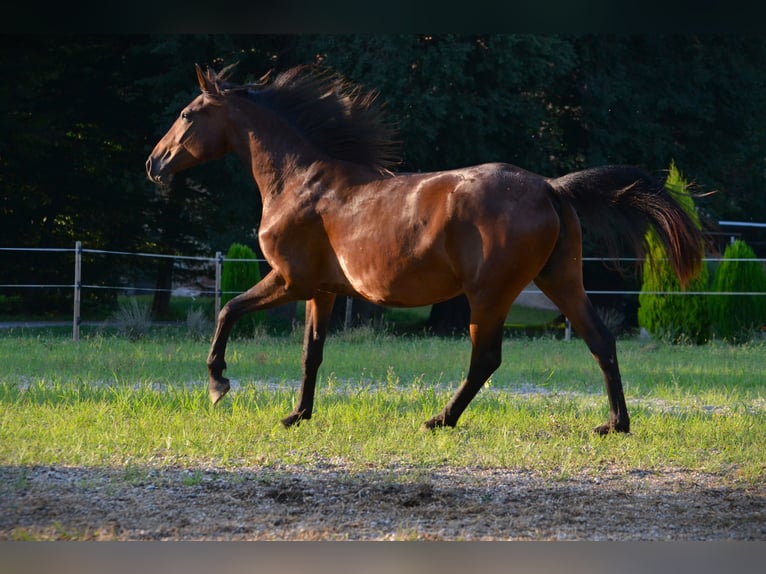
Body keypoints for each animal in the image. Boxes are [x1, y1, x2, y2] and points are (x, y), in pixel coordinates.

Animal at [147, 64, 704, 436]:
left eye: (187, 113)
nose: (155, 163)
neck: (301, 183)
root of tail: (550, 187)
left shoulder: (289, 280)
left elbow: (227, 310)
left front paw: (218, 383)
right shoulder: (321, 292)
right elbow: (311, 353)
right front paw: (297, 415)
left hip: (489, 295)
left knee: (486, 359)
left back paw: (440, 419)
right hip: (561, 280)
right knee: (600, 341)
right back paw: (615, 425)